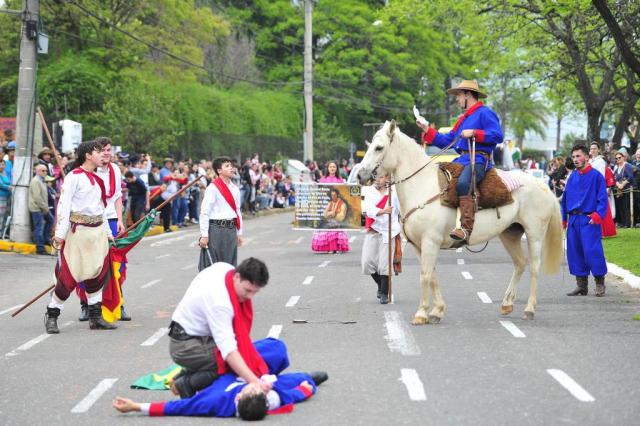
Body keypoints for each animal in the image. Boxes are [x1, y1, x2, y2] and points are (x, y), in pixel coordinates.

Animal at [358, 121, 564, 324]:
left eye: (379, 147)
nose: (360, 175)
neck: (422, 187)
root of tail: (544, 186)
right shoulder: (418, 246)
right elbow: (432, 276)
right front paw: (437, 310)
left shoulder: (430, 242)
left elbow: (425, 276)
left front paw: (421, 313)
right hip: (510, 234)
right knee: (520, 263)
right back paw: (506, 304)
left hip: (534, 234)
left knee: (534, 267)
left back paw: (529, 309)